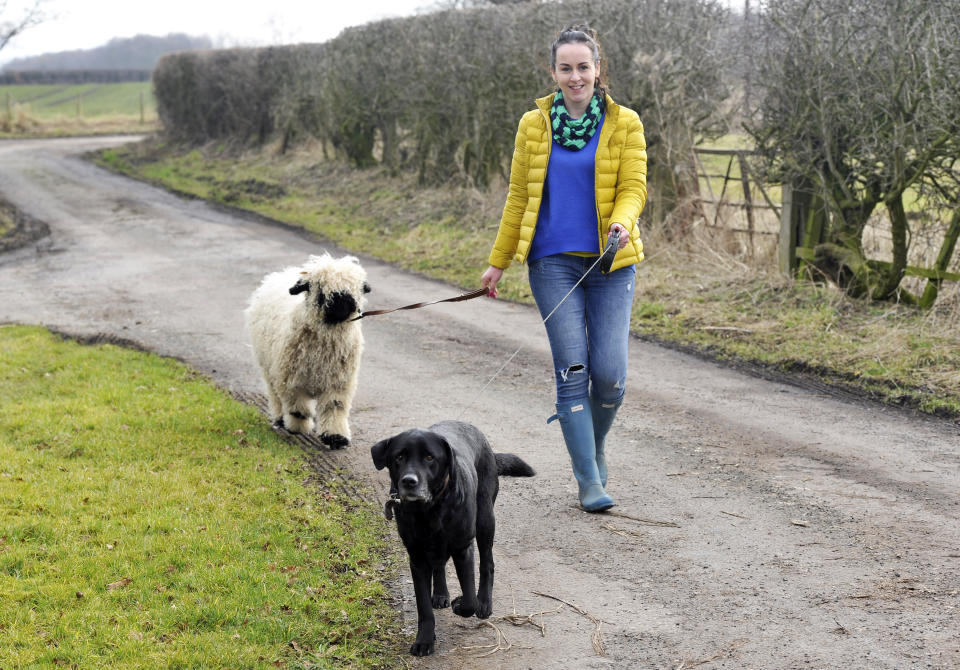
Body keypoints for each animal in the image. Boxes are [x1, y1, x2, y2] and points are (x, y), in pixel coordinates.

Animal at [244, 255, 372, 448]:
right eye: (319, 286)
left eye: (354, 288)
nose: (341, 303)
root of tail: (283, 272)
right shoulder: (290, 379)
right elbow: (298, 408)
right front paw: (298, 426)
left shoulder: (339, 382)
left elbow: (334, 407)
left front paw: (336, 437)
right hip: (269, 368)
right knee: (275, 396)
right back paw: (280, 419)